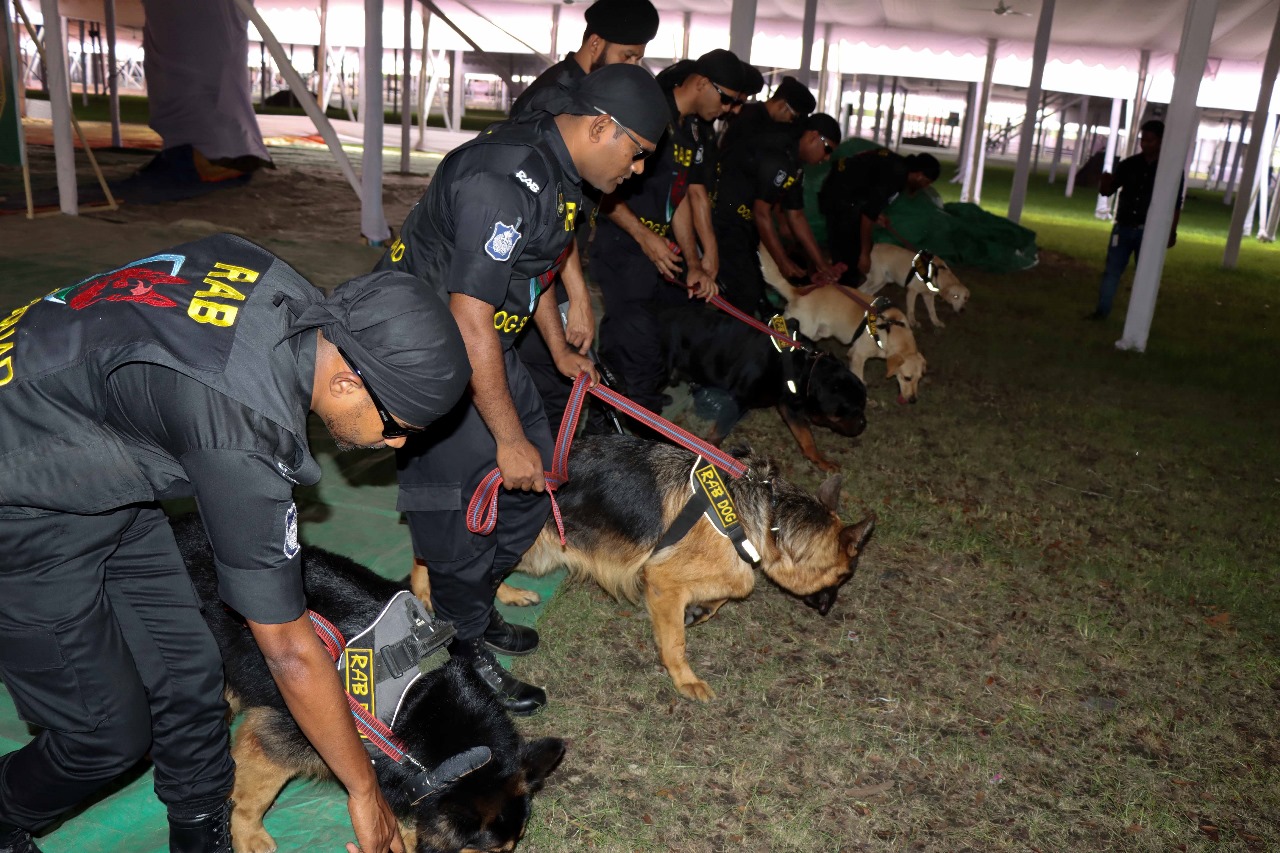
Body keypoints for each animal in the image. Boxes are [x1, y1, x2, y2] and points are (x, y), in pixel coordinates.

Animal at [514, 435, 875, 701]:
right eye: (844, 576)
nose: (828, 610)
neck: (770, 516)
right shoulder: (663, 582)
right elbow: (678, 640)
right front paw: (685, 679)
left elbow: (728, 590)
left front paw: (700, 610)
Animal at [650, 298, 870, 471]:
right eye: (852, 409)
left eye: (862, 406)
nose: (864, 424)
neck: (802, 366)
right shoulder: (739, 401)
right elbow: (718, 434)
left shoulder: (789, 406)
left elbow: (806, 437)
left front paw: (821, 460)